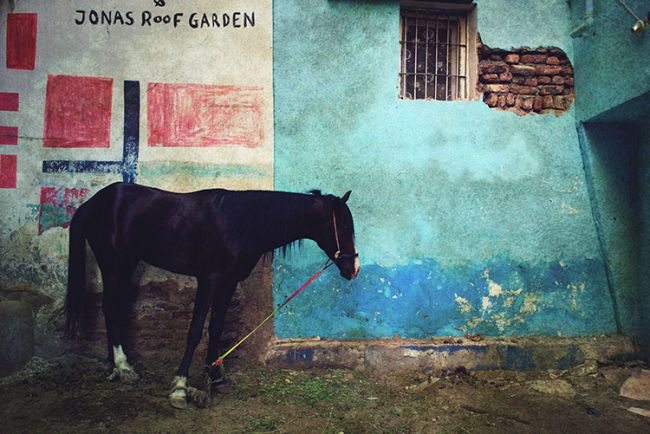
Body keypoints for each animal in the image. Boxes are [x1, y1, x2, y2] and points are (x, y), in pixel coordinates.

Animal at [64, 181, 360, 408]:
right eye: (344, 227)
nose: (353, 268)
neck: (236, 224)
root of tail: (91, 203)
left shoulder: (228, 282)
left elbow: (216, 327)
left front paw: (215, 377)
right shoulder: (209, 279)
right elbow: (196, 331)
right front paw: (180, 386)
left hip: (128, 262)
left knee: (114, 306)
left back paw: (115, 366)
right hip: (114, 262)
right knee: (109, 306)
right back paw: (123, 366)